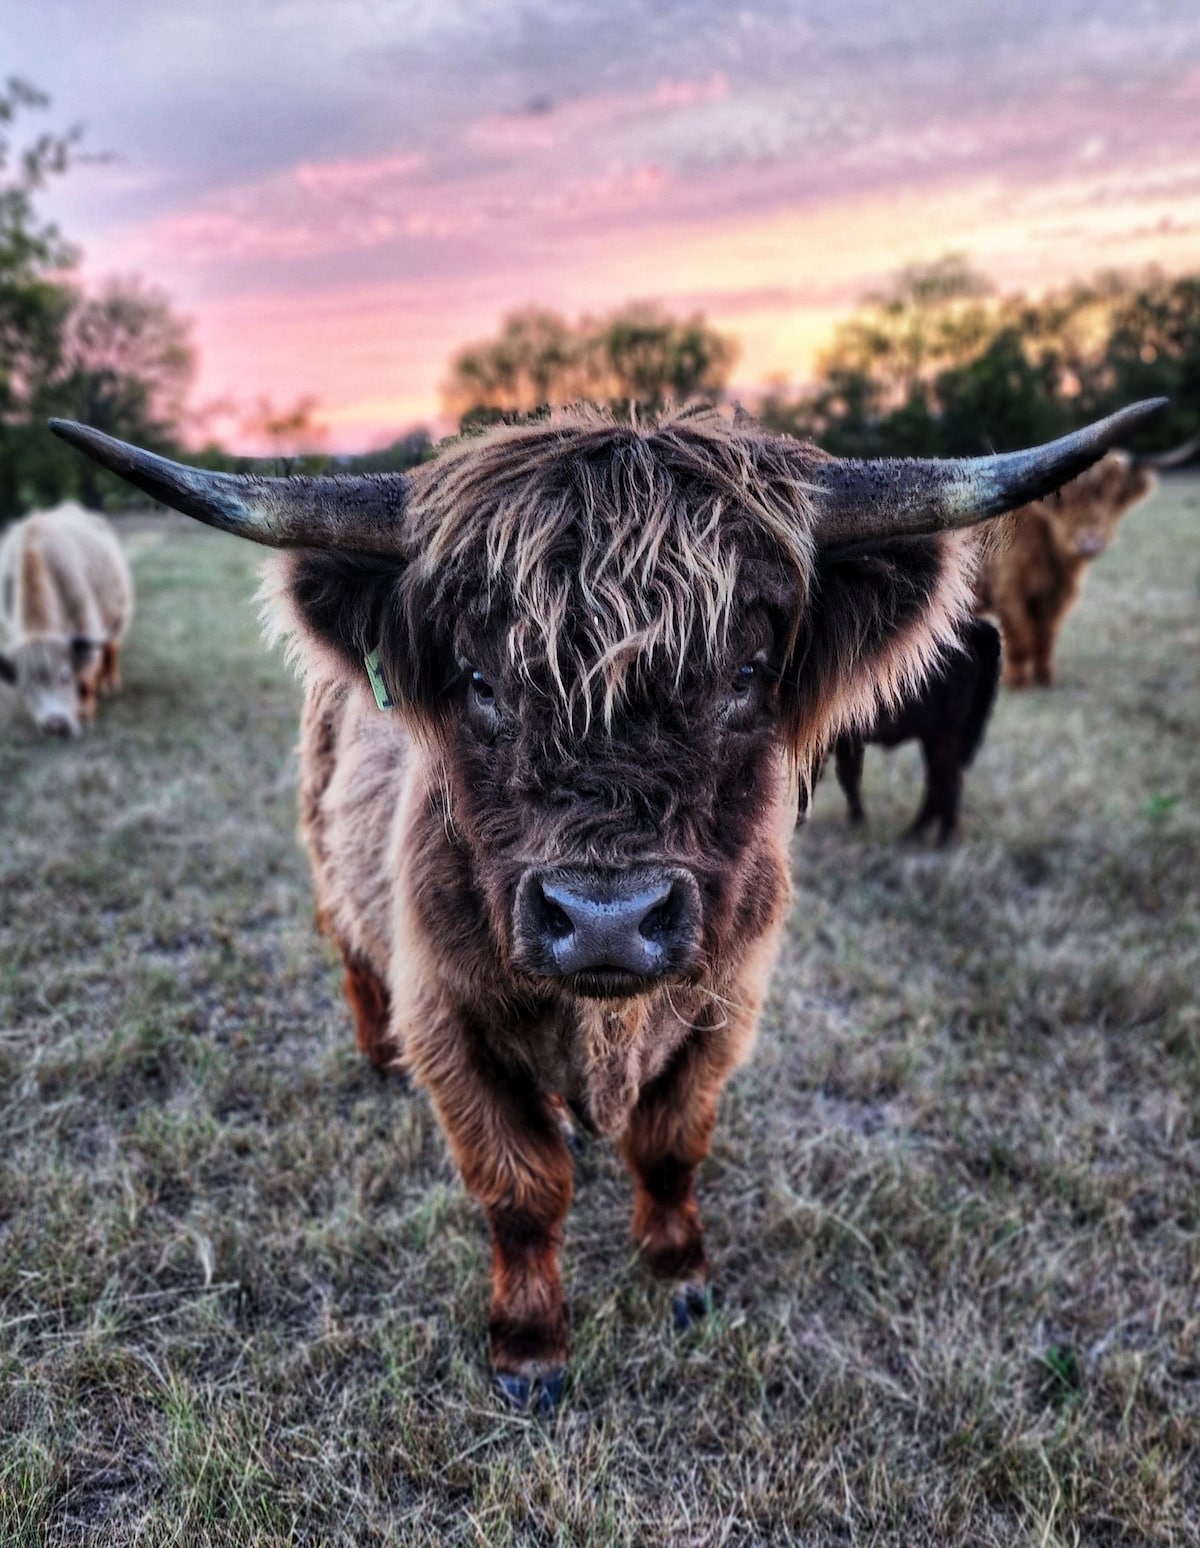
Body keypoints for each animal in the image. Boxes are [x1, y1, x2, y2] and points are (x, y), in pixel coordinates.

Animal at [0, 498, 133, 733]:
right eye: (26, 687)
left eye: (64, 677)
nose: (55, 724)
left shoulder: (87, 623)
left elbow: (86, 674)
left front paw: (86, 710)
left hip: (117, 613)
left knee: (111, 648)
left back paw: (110, 683)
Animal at [53, 399, 1164, 1417]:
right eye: (479, 679)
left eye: (747, 675)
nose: (605, 917)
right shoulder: (448, 1018)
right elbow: (521, 1187)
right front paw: (530, 1344)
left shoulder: (726, 1002)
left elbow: (671, 1144)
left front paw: (679, 1275)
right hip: (329, 858)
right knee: (349, 952)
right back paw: (376, 1056)